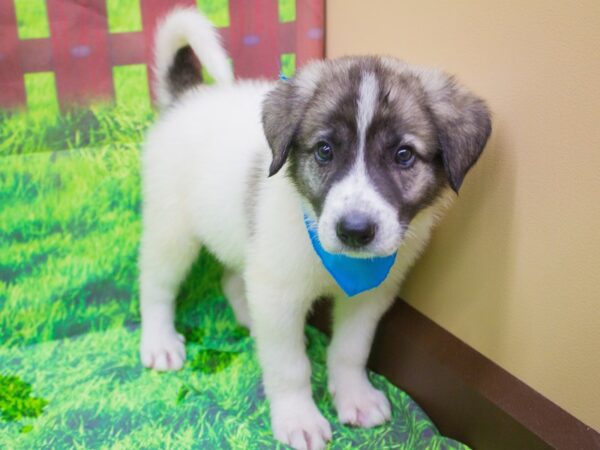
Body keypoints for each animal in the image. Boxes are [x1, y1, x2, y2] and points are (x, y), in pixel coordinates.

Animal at [139, 7, 492, 450]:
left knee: (234, 280)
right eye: (325, 150)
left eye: (403, 155)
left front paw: (355, 397)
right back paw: (159, 342)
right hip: (171, 230)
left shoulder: (367, 296)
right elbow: (289, 366)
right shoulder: (279, 292)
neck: (334, 259)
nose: (355, 230)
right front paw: (298, 418)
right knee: (155, 285)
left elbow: (351, 350)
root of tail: (187, 99)